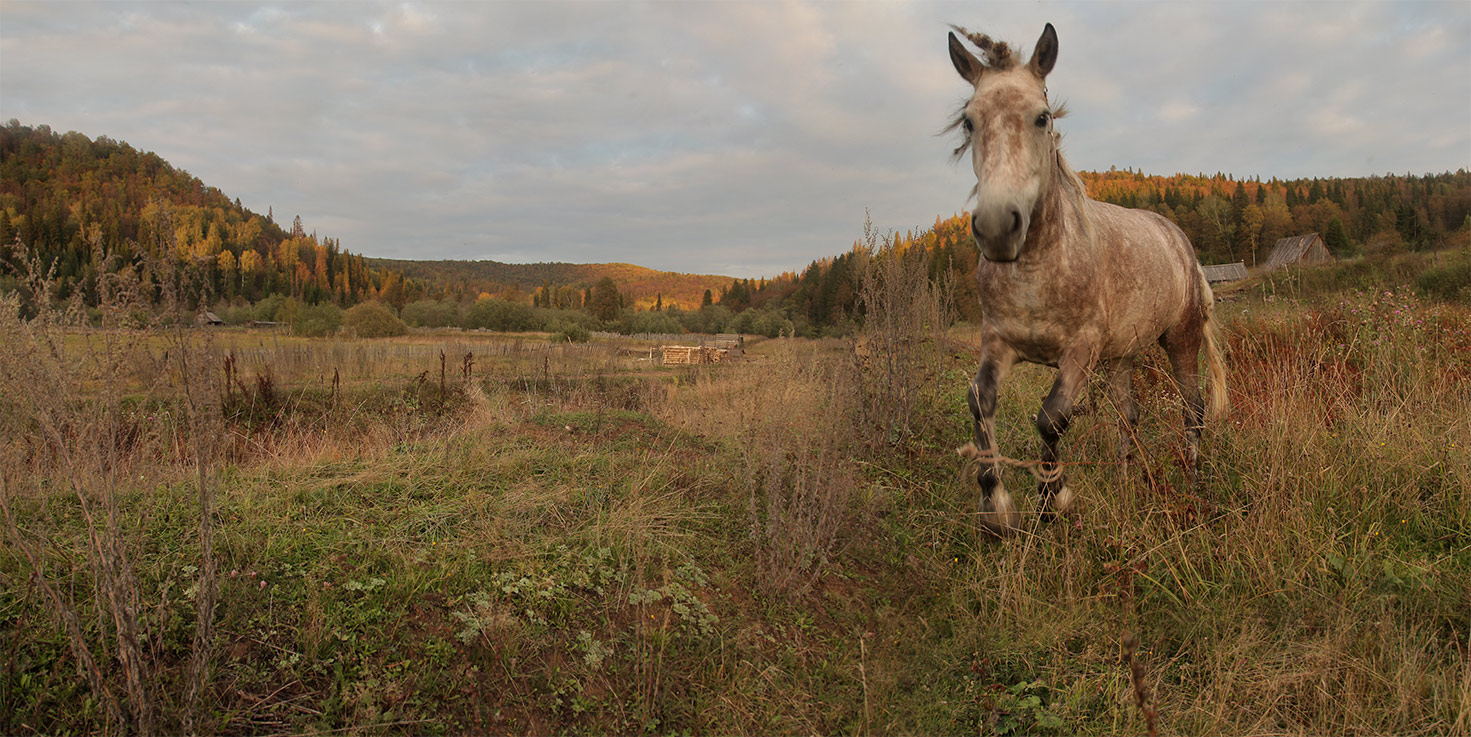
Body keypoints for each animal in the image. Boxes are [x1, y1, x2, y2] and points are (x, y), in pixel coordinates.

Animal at [941, 21, 1229, 529]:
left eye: (1042, 118)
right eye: (969, 121)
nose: (996, 227)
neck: (1036, 269)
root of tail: (1181, 244)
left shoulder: (1081, 349)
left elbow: (1052, 417)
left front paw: (1051, 497)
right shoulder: (998, 341)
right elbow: (979, 400)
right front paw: (995, 507)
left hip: (1181, 339)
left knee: (1192, 409)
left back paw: (1194, 483)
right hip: (1122, 356)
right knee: (1128, 414)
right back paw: (1127, 482)